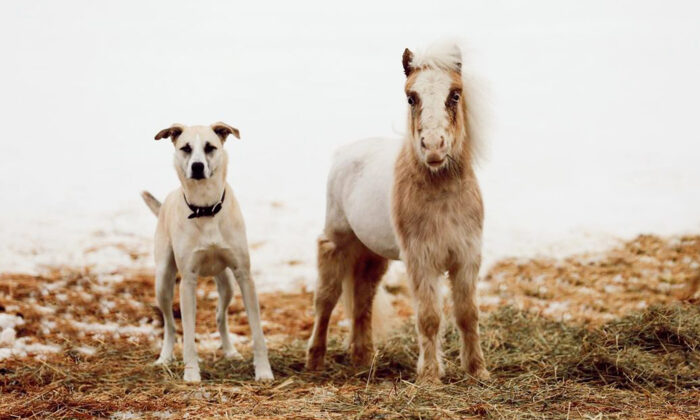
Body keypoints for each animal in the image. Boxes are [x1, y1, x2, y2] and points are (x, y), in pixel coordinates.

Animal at [142, 122, 274, 384]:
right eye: (186, 148)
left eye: (210, 147)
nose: (197, 166)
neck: (206, 209)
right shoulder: (188, 281)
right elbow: (189, 334)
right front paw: (191, 373)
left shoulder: (244, 276)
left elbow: (257, 332)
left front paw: (263, 371)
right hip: (163, 280)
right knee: (170, 324)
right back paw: (164, 357)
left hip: (227, 283)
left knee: (220, 316)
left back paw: (230, 351)